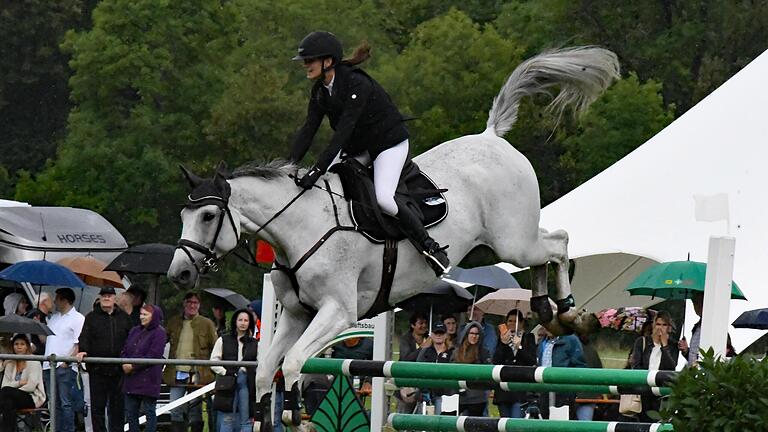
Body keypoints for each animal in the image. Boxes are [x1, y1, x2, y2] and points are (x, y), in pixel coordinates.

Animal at [166, 45, 616, 430]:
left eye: (208, 215)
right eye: (184, 215)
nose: (179, 275)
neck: (300, 225)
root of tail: (492, 137)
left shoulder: (338, 311)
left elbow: (292, 365)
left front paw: (296, 414)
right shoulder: (295, 314)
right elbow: (264, 372)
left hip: (512, 240)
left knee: (558, 242)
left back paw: (569, 312)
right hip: (514, 240)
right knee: (546, 252)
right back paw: (547, 311)